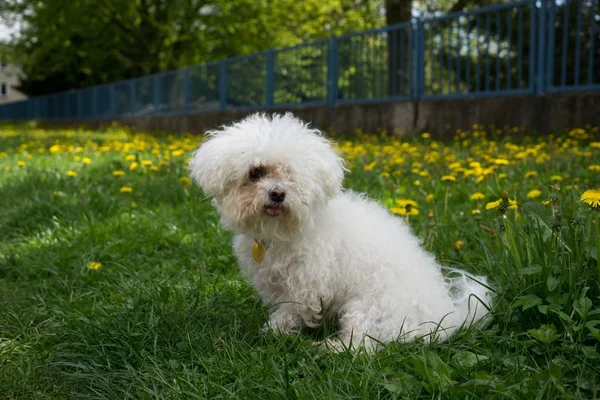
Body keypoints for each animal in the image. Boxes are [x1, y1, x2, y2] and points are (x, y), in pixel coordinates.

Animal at [189, 111, 492, 350]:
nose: (277, 194)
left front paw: (274, 332)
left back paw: (330, 348)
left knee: (363, 345)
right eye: (256, 172)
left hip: (368, 309)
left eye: (292, 175)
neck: (287, 230)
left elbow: (290, 311)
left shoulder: (306, 285)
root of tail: (445, 318)